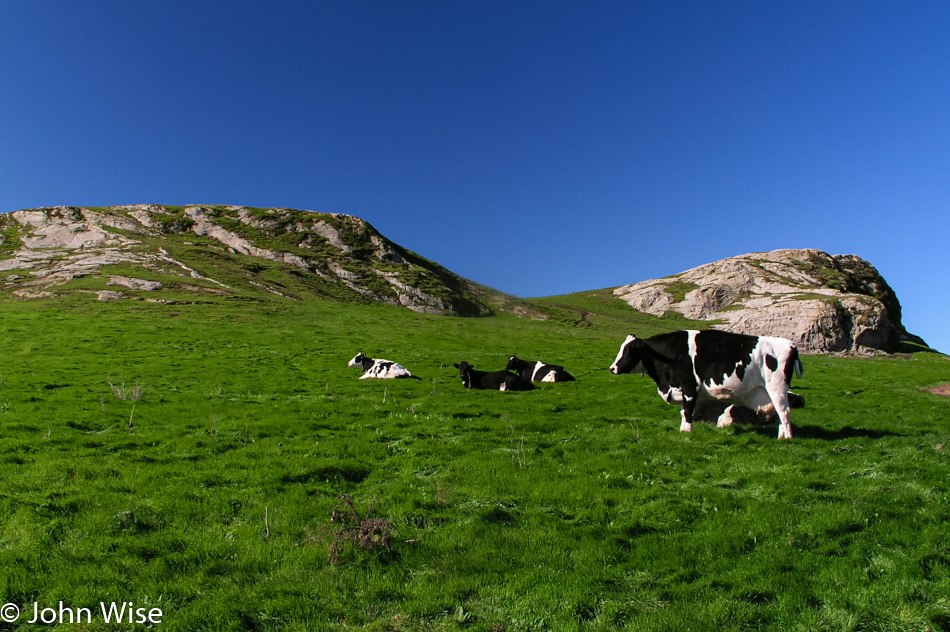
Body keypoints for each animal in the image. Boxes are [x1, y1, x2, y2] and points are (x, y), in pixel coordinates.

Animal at [608, 330, 804, 440]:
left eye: (629, 349)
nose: (612, 368)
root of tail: (790, 344)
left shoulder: (689, 387)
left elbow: (688, 411)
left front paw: (687, 432)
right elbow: (683, 412)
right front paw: (682, 430)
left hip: (777, 387)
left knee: (784, 411)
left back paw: (786, 438)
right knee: (780, 412)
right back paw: (781, 435)